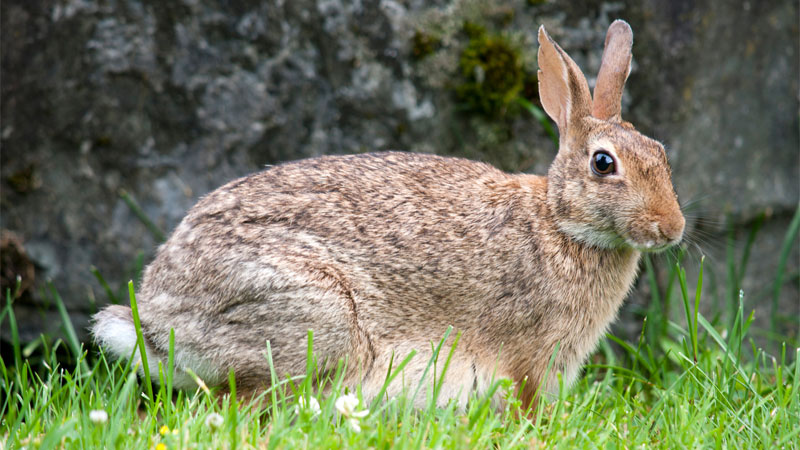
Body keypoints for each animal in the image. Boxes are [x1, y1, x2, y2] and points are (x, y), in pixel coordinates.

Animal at [92, 19, 680, 410]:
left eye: (661, 152)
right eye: (604, 163)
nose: (671, 229)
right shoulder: (531, 357)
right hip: (316, 316)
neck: (560, 222)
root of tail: (158, 322)